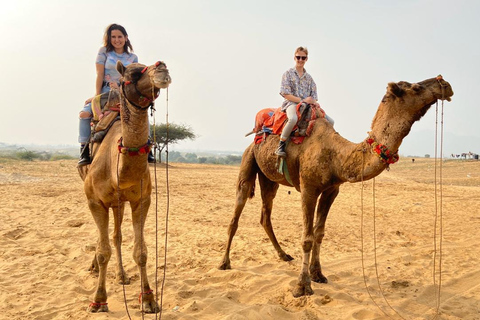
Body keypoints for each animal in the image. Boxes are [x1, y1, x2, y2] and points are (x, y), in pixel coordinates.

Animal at [77, 60, 171, 312]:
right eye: (131, 74)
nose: (162, 68)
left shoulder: (142, 200)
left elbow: (141, 252)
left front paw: (148, 299)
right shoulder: (95, 201)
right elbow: (103, 252)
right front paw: (98, 300)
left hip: (119, 203)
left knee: (116, 236)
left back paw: (121, 275)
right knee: (107, 238)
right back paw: (96, 269)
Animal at [219, 75, 452, 298]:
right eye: (416, 88)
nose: (445, 84)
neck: (336, 156)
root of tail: (257, 134)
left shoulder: (332, 190)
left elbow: (319, 232)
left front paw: (318, 274)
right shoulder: (308, 188)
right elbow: (307, 237)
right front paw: (302, 287)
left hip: (270, 179)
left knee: (265, 214)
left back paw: (284, 255)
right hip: (248, 160)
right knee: (236, 213)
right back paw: (224, 262)